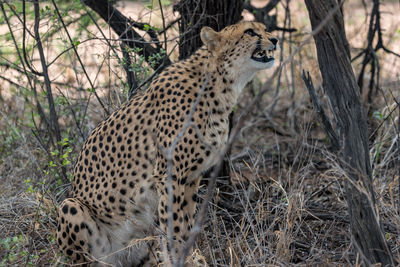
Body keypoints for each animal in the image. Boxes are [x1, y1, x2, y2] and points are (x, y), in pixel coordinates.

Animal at [56, 22, 276, 266]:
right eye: (250, 32)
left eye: (264, 29)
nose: (275, 40)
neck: (220, 84)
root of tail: (118, 258)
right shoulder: (170, 174)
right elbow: (176, 223)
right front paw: (182, 259)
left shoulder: (191, 177)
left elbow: (186, 221)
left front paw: (191, 256)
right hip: (70, 206)